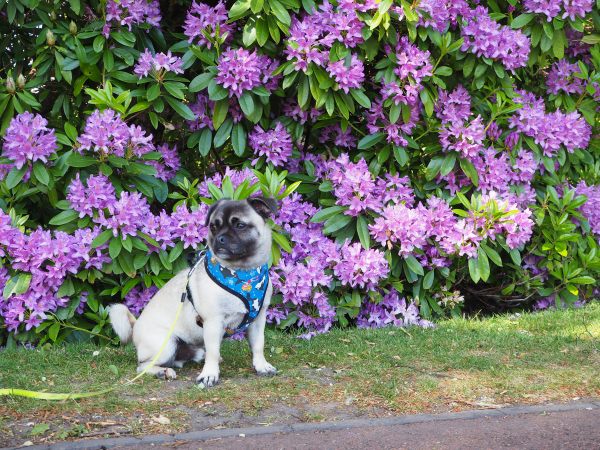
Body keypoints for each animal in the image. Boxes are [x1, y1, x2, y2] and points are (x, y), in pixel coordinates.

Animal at [109, 197, 278, 386]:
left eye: (240, 225)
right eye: (213, 227)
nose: (219, 238)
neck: (243, 274)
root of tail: (136, 324)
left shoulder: (258, 320)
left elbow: (258, 345)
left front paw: (261, 366)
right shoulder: (213, 322)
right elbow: (213, 351)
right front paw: (210, 374)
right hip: (166, 344)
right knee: (143, 366)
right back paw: (162, 372)